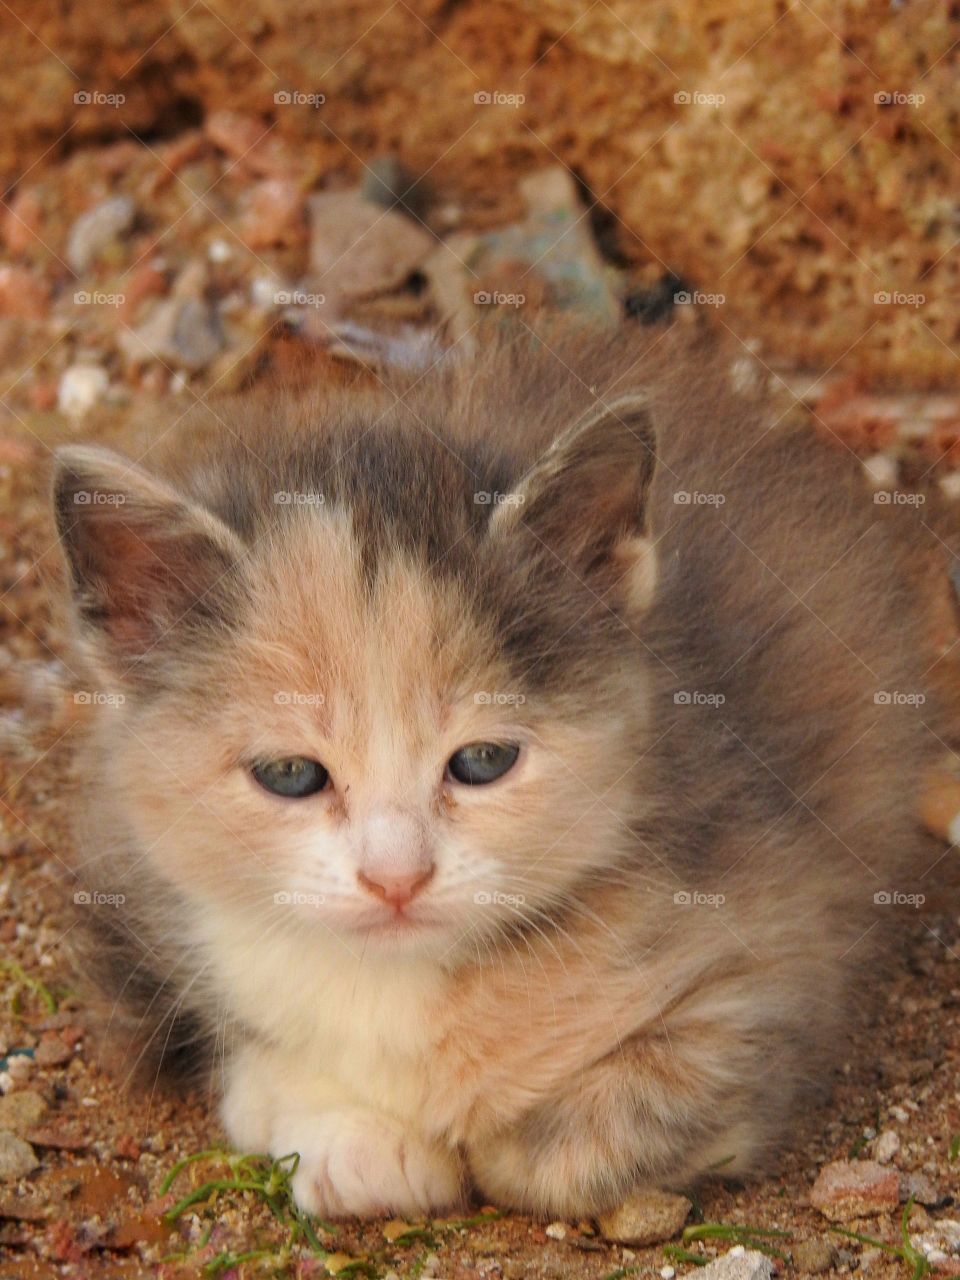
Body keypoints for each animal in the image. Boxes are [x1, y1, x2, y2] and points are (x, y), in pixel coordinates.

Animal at [50, 325, 947, 1213]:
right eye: (292, 775)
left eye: (482, 761)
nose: (396, 879)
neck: (399, 989)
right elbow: (252, 1075)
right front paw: (357, 1142)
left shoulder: (773, 953)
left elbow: (577, 1144)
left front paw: (502, 1137)